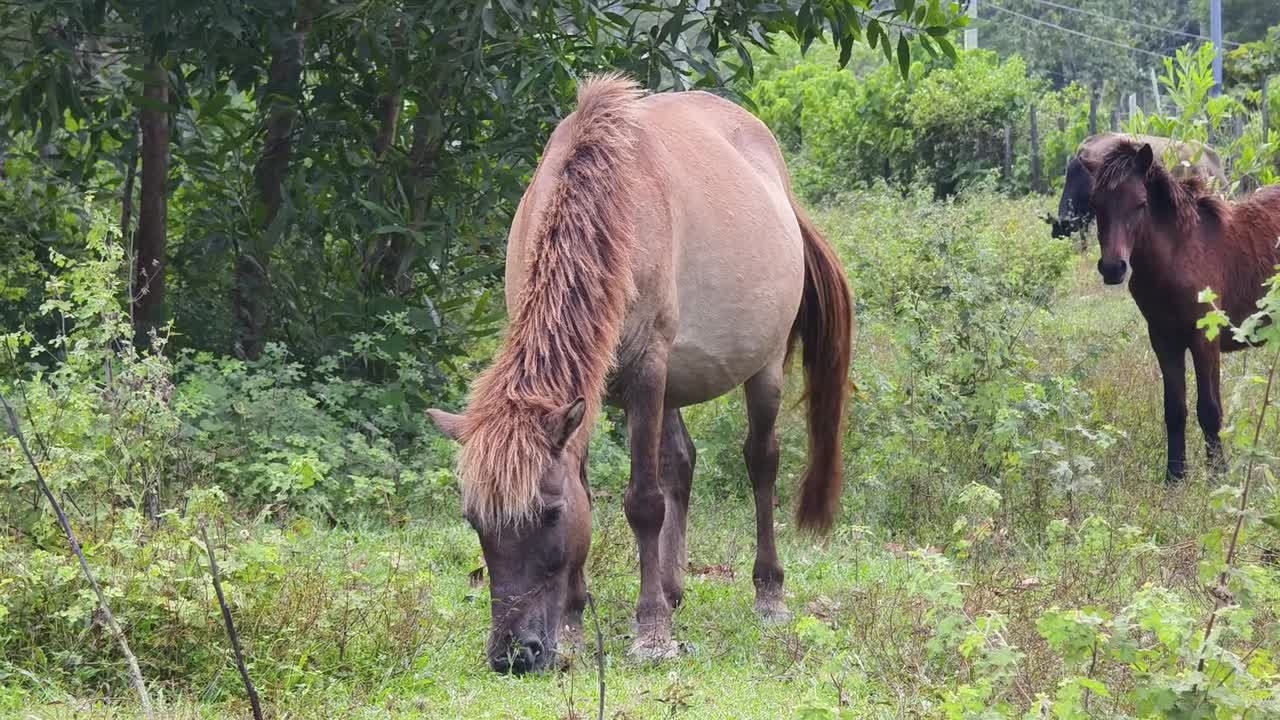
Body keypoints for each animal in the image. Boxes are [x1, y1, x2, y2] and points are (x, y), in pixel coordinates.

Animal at [427, 75, 853, 673]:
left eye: (550, 514)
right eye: (475, 520)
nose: (515, 655)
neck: (610, 207)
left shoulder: (646, 370)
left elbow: (644, 503)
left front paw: (652, 632)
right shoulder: (589, 395)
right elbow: (604, 488)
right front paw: (575, 623)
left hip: (760, 367)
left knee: (761, 463)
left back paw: (768, 593)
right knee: (681, 462)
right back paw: (674, 589)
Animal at [1089, 140, 1280, 481]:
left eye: (1140, 203)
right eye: (1096, 205)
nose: (1112, 268)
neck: (1178, 255)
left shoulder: (1205, 339)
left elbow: (1210, 409)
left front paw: (1218, 475)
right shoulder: (1164, 340)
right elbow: (1174, 409)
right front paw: (1175, 477)